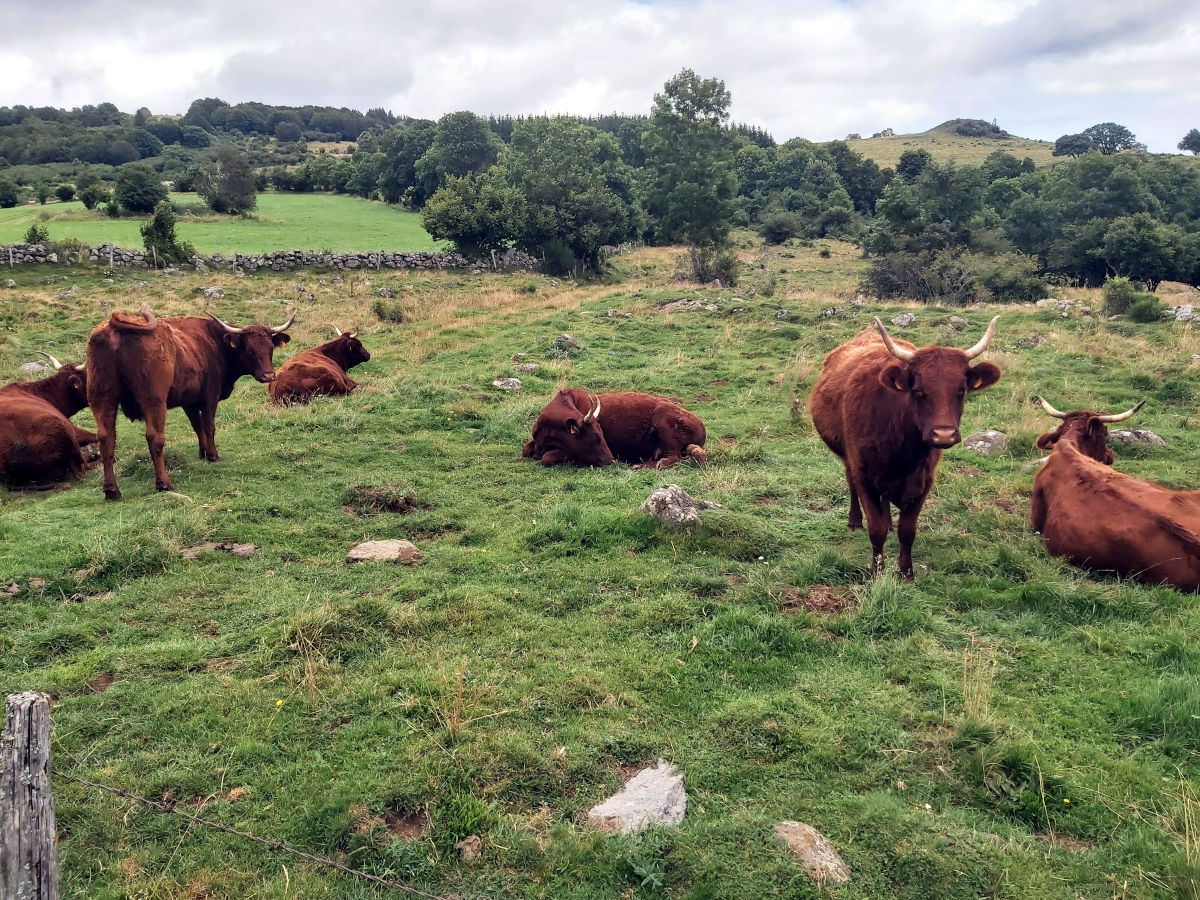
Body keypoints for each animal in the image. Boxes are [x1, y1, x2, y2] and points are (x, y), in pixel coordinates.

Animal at [87, 304, 292, 501]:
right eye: (250, 350)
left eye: (270, 349)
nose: (269, 375)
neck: (215, 341)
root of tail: (114, 326)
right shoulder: (210, 396)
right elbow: (209, 426)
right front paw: (212, 456)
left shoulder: (189, 401)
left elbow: (197, 427)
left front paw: (203, 453)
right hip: (154, 401)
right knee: (155, 438)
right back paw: (164, 483)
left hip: (102, 398)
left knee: (106, 438)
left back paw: (112, 491)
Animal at [523, 388, 705, 468]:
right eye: (596, 438)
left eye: (602, 435)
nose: (612, 460)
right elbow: (525, 450)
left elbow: (548, 457)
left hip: (664, 422)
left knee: (670, 458)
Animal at [806, 316, 1003, 580]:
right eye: (918, 391)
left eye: (961, 391)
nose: (944, 434)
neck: (902, 453)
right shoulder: (864, 475)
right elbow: (875, 529)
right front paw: (877, 572)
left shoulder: (924, 481)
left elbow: (907, 530)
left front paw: (906, 572)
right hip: (848, 458)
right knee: (851, 484)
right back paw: (854, 521)